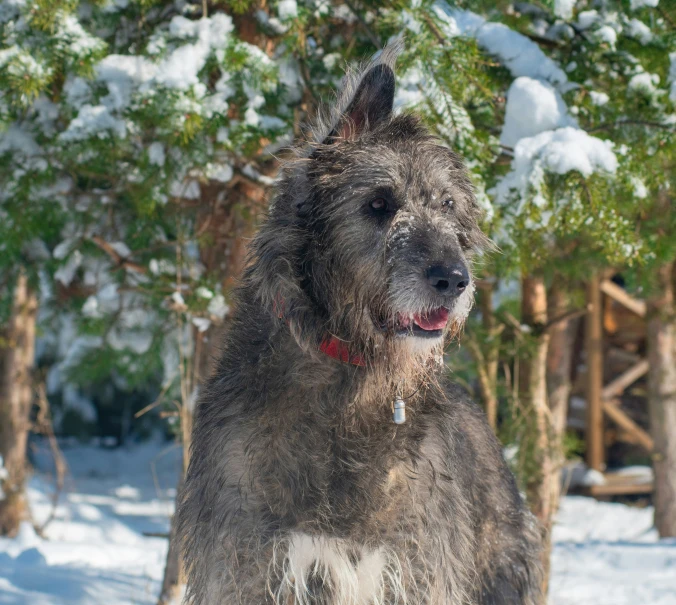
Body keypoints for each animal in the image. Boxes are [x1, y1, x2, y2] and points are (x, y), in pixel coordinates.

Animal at [177, 43, 540, 604]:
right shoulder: (247, 565)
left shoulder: (417, 568)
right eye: (378, 204)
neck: (348, 388)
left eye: (447, 205)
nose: (454, 280)